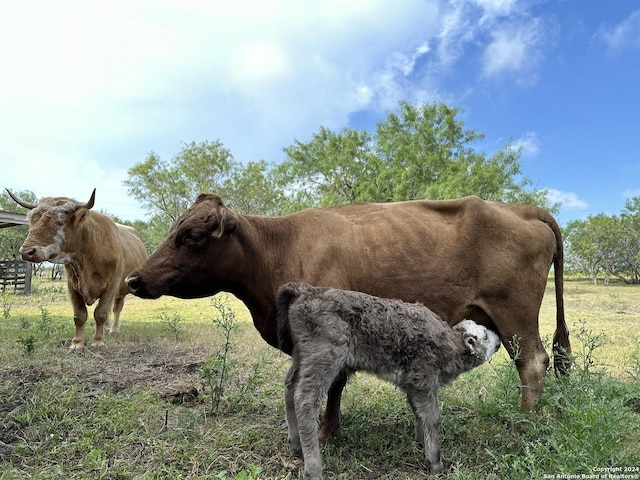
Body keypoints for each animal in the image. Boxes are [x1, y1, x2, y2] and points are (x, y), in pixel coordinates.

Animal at [7, 189, 148, 350]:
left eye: (59, 221)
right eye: (32, 221)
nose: (26, 252)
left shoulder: (112, 285)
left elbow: (101, 313)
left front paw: (98, 341)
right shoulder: (72, 286)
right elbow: (79, 316)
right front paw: (77, 343)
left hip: (122, 288)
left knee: (116, 308)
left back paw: (114, 328)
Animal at [125, 192, 568, 438]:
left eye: (192, 235)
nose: (133, 278)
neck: (276, 249)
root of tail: (522, 209)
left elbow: (332, 386)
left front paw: (323, 432)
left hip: (515, 313)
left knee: (532, 362)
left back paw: (524, 424)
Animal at [276, 284, 500, 478]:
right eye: (484, 336)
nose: (498, 340)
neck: (449, 343)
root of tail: (306, 291)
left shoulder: (413, 385)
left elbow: (418, 413)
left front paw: (421, 443)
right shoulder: (424, 380)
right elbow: (432, 417)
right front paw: (435, 461)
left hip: (302, 355)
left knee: (290, 386)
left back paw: (296, 444)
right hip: (324, 356)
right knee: (306, 400)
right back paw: (313, 468)